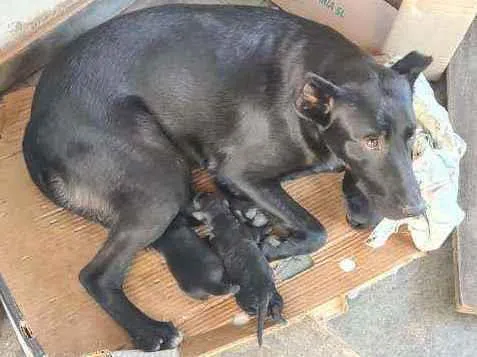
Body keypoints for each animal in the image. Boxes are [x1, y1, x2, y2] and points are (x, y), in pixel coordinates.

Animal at [192, 192, 284, 344]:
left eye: (201, 199)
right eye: (210, 194)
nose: (200, 193)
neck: (223, 220)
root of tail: (263, 293)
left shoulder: (215, 243)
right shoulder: (250, 233)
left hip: (243, 299)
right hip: (275, 296)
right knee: (276, 309)